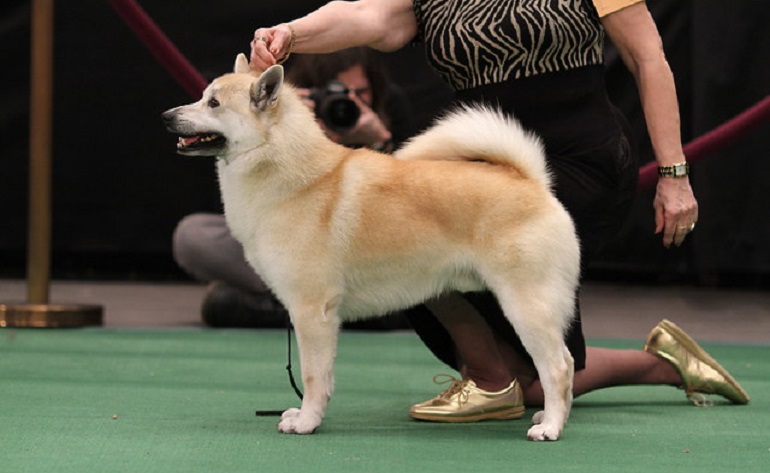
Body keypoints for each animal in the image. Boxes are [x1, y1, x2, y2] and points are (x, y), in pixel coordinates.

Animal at [164, 53, 584, 440]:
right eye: (203, 96)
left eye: (214, 103)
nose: (167, 116)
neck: (289, 171)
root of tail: (531, 181)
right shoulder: (323, 317)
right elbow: (326, 376)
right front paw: (310, 414)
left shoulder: (310, 310)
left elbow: (312, 375)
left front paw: (306, 422)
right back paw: (549, 416)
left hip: (525, 305)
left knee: (559, 367)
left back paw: (549, 427)